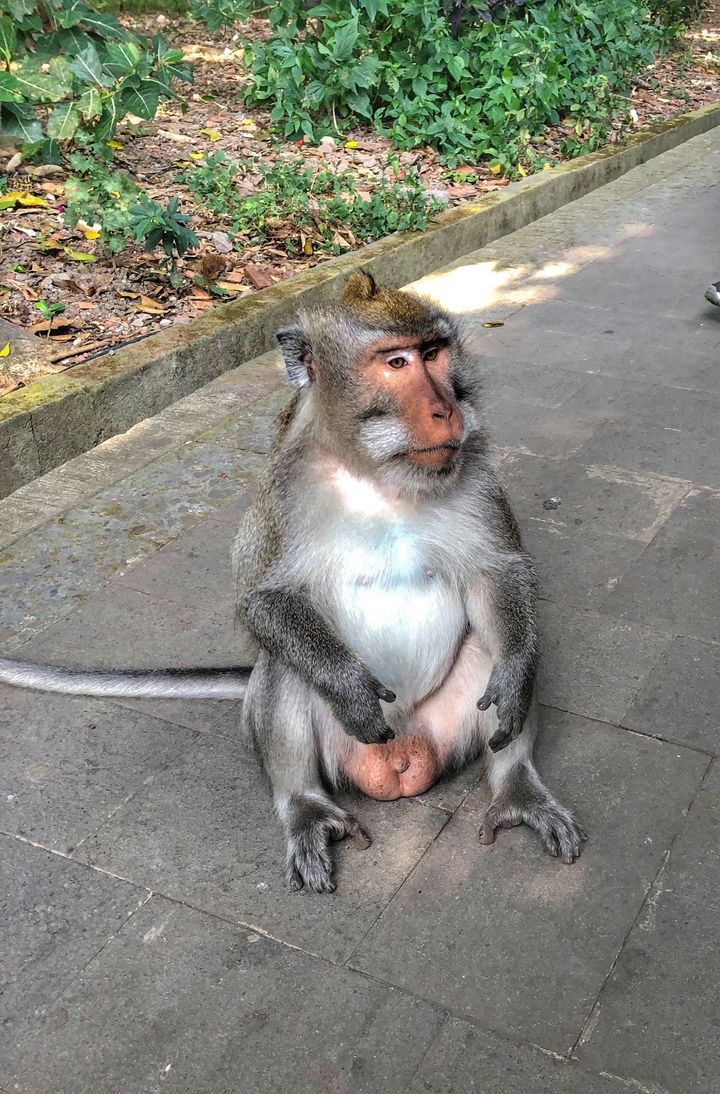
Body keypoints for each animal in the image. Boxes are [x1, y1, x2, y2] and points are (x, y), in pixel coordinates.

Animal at [0, 271, 586, 892]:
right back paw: (304, 806)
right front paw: (347, 685)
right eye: (396, 362)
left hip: (448, 725)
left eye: (434, 353)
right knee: (283, 664)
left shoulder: (473, 469)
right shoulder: (282, 491)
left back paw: (516, 784)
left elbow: (498, 573)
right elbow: (263, 600)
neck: (381, 477)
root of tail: (404, 757)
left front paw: (516, 674)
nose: (446, 411)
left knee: (488, 650)